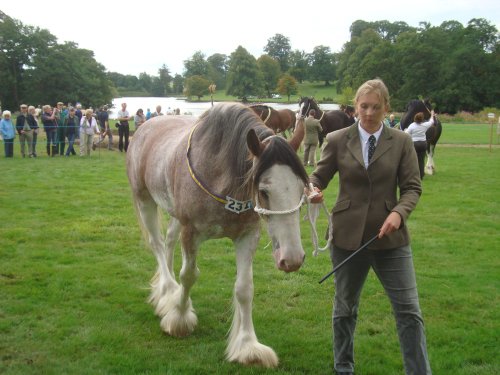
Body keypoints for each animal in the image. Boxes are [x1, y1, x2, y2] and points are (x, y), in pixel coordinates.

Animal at [126, 102, 308, 368]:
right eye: (263, 191)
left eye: (301, 188)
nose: (292, 259)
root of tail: (145, 127)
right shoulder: (191, 232)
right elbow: (189, 276)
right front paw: (179, 319)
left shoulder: (247, 236)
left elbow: (244, 288)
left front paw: (248, 346)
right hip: (144, 200)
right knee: (157, 244)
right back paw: (167, 292)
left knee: (168, 242)